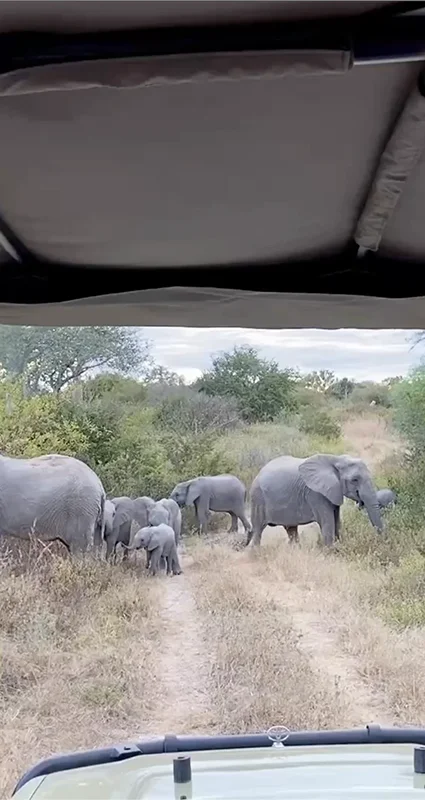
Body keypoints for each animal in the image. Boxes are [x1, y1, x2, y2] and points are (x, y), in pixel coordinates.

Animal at [247, 453, 384, 548]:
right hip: (258, 499)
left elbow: (337, 521)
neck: (336, 459)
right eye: (354, 480)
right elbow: (327, 522)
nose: (360, 503)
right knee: (258, 530)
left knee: (291, 529)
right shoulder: (315, 494)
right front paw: (331, 552)